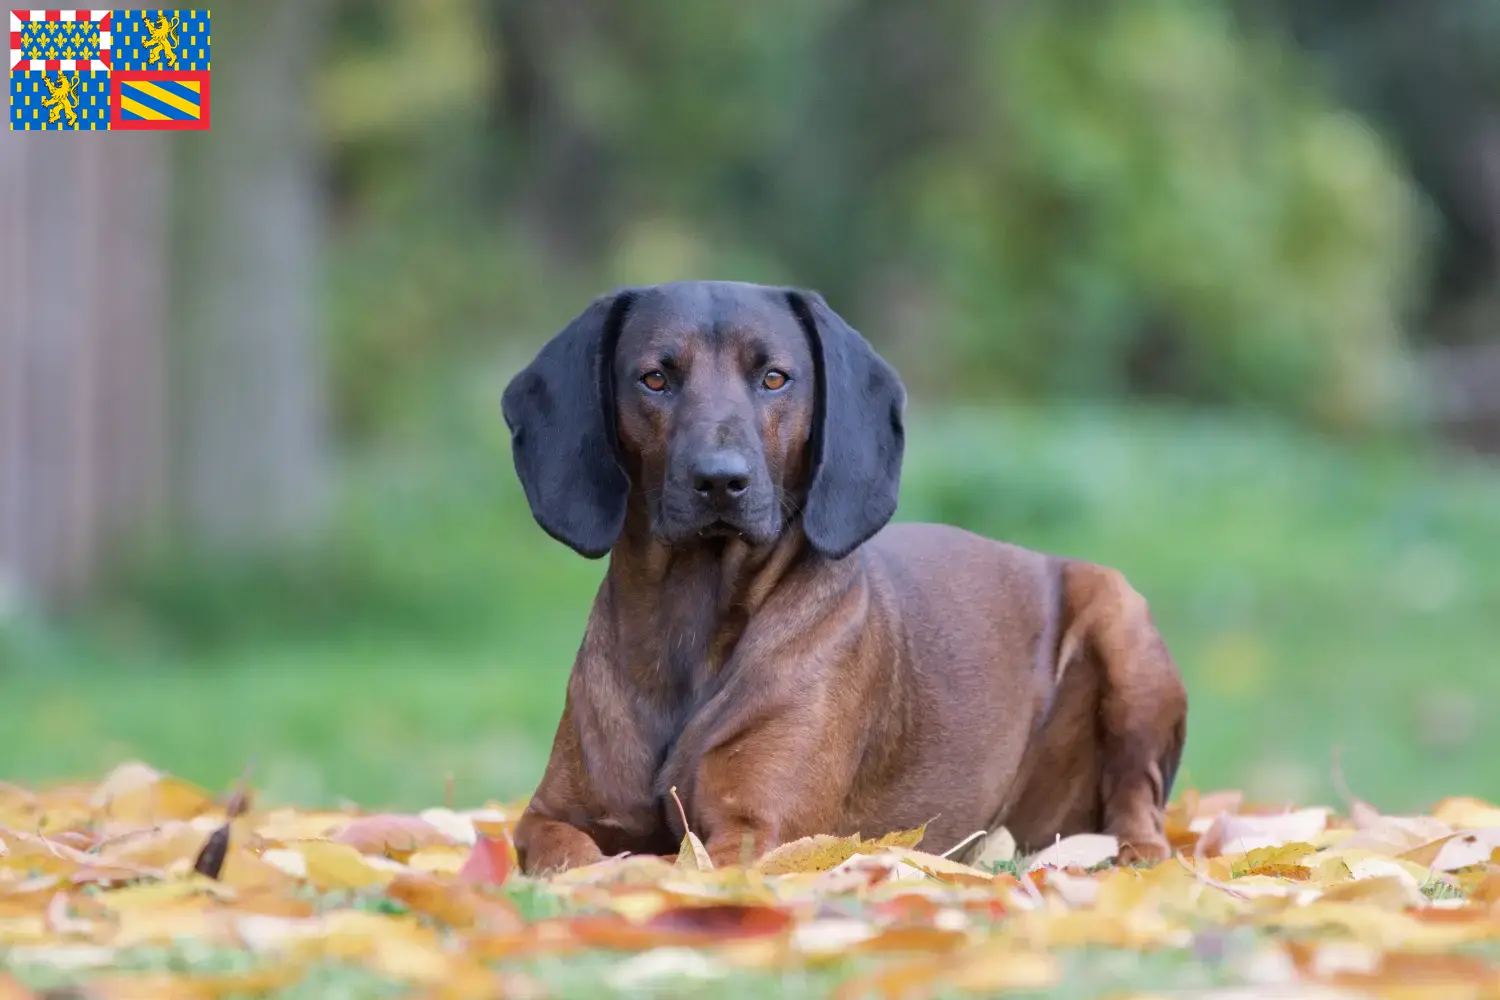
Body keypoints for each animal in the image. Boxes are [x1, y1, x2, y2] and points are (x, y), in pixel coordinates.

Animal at [501, 281, 1182, 875]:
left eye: (775, 377)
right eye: (655, 378)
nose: (720, 480)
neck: (691, 625)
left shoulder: (758, 830)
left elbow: (662, 864)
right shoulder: (549, 816)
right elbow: (570, 852)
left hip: (1121, 620)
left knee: (1138, 800)